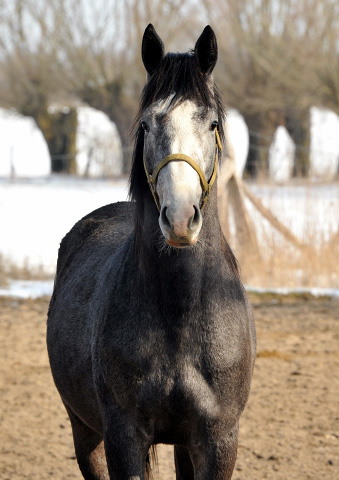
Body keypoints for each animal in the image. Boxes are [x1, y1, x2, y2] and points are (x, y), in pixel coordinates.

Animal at [47, 23, 255, 480]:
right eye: (147, 122)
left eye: (212, 123)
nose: (179, 217)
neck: (179, 311)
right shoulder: (123, 436)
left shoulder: (218, 441)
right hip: (85, 432)